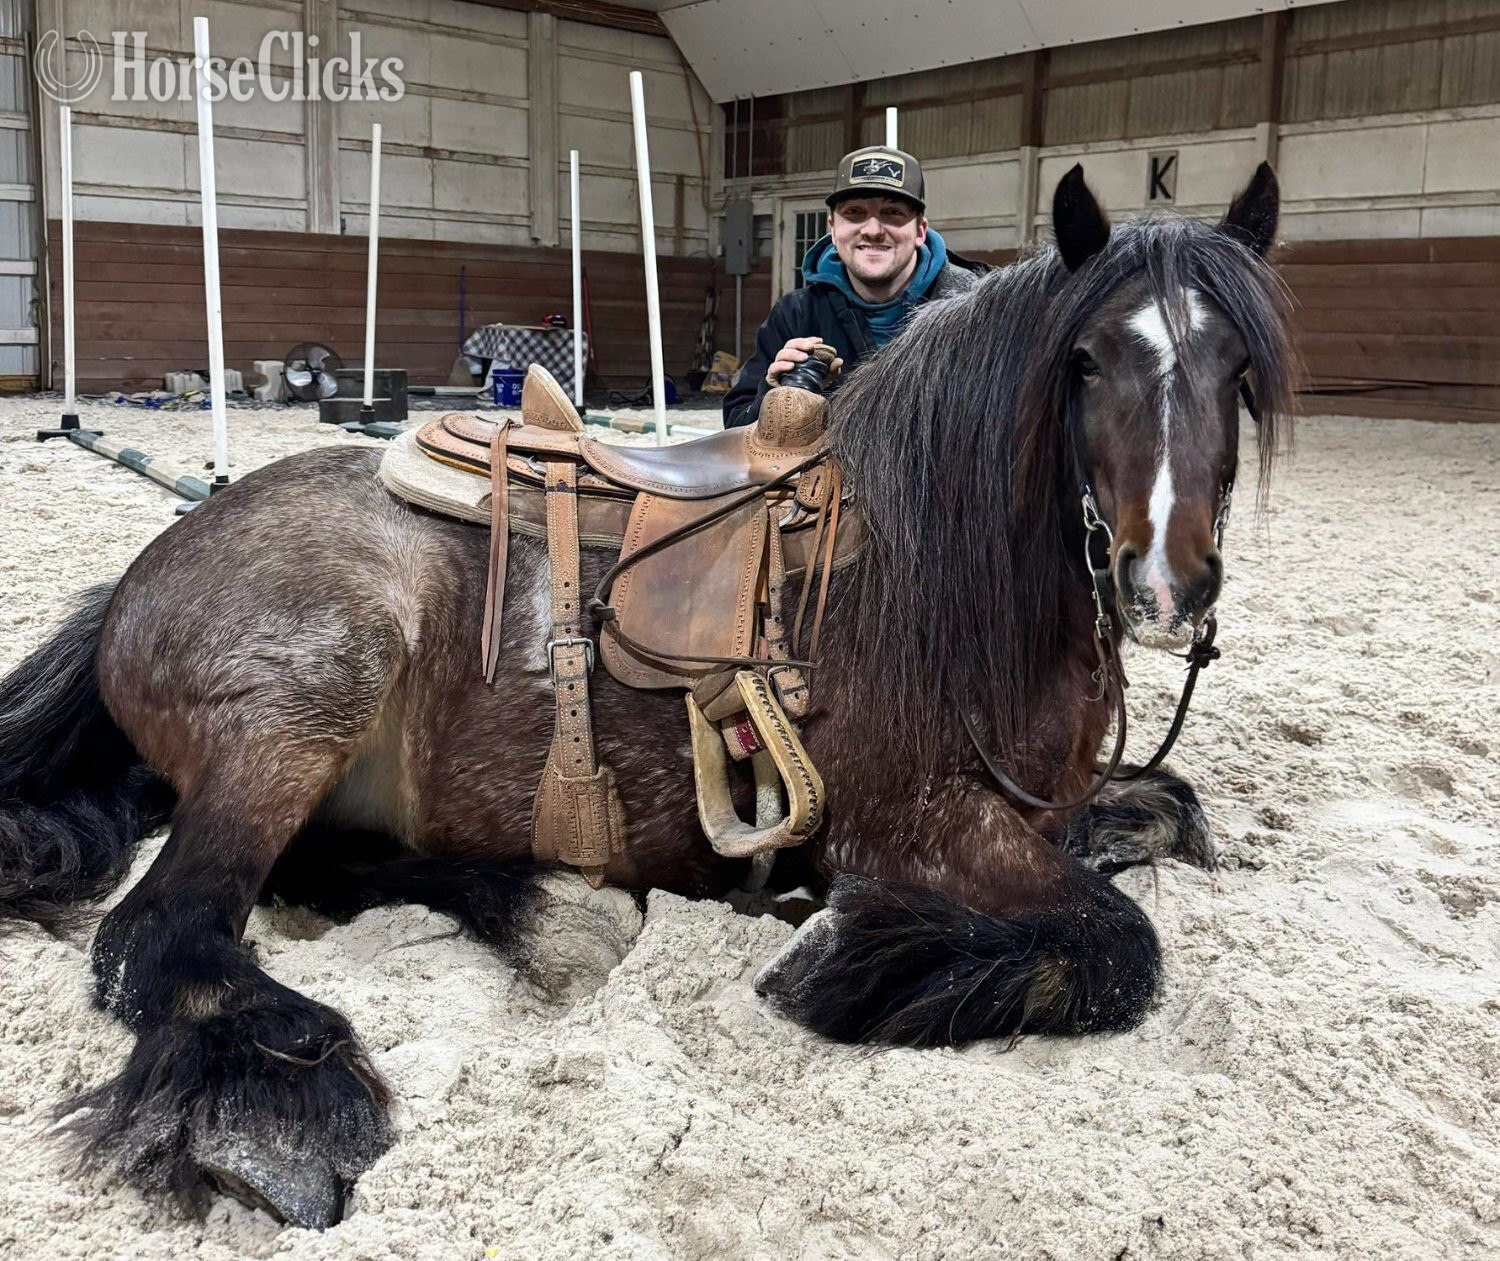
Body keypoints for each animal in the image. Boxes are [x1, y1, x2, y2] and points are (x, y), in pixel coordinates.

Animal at [0, 164, 1293, 1228]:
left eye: (1237, 369)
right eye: (1087, 360)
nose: (1167, 582)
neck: (934, 566)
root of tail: (146, 571)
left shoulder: (1041, 798)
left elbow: (1167, 810)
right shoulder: (916, 825)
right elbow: (1119, 940)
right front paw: (857, 963)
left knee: (322, 868)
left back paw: (549, 911)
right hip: (310, 694)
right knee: (163, 926)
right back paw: (281, 1111)